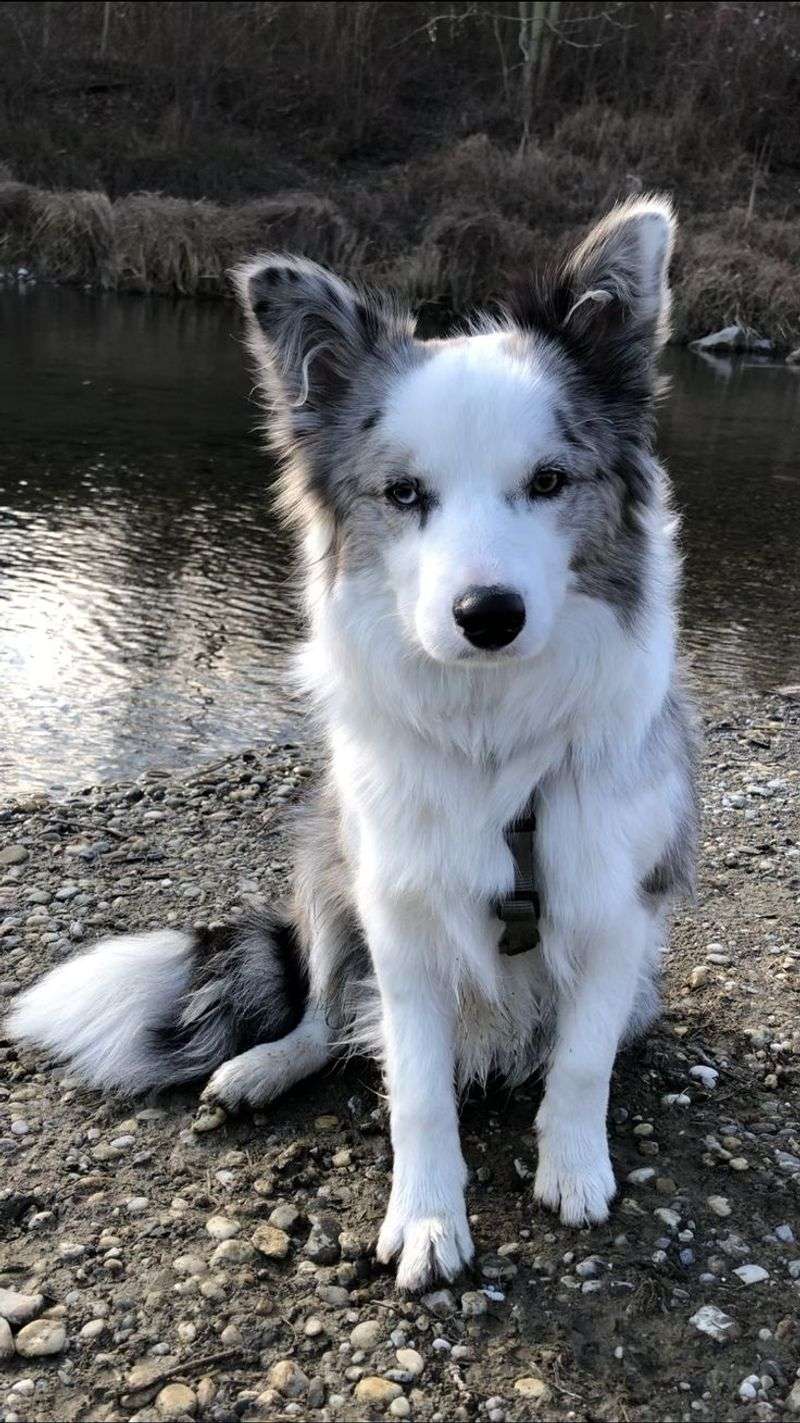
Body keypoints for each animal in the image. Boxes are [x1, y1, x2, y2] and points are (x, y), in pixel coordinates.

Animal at [4, 194, 691, 1297]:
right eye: (403, 493)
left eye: (549, 480)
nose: (487, 614)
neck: (491, 730)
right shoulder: (397, 907)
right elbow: (414, 1086)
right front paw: (425, 1218)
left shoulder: (615, 899)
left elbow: (582, 1058)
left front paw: (574, 1164)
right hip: (329, 863)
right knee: (324, 1009)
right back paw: (262, 1064)